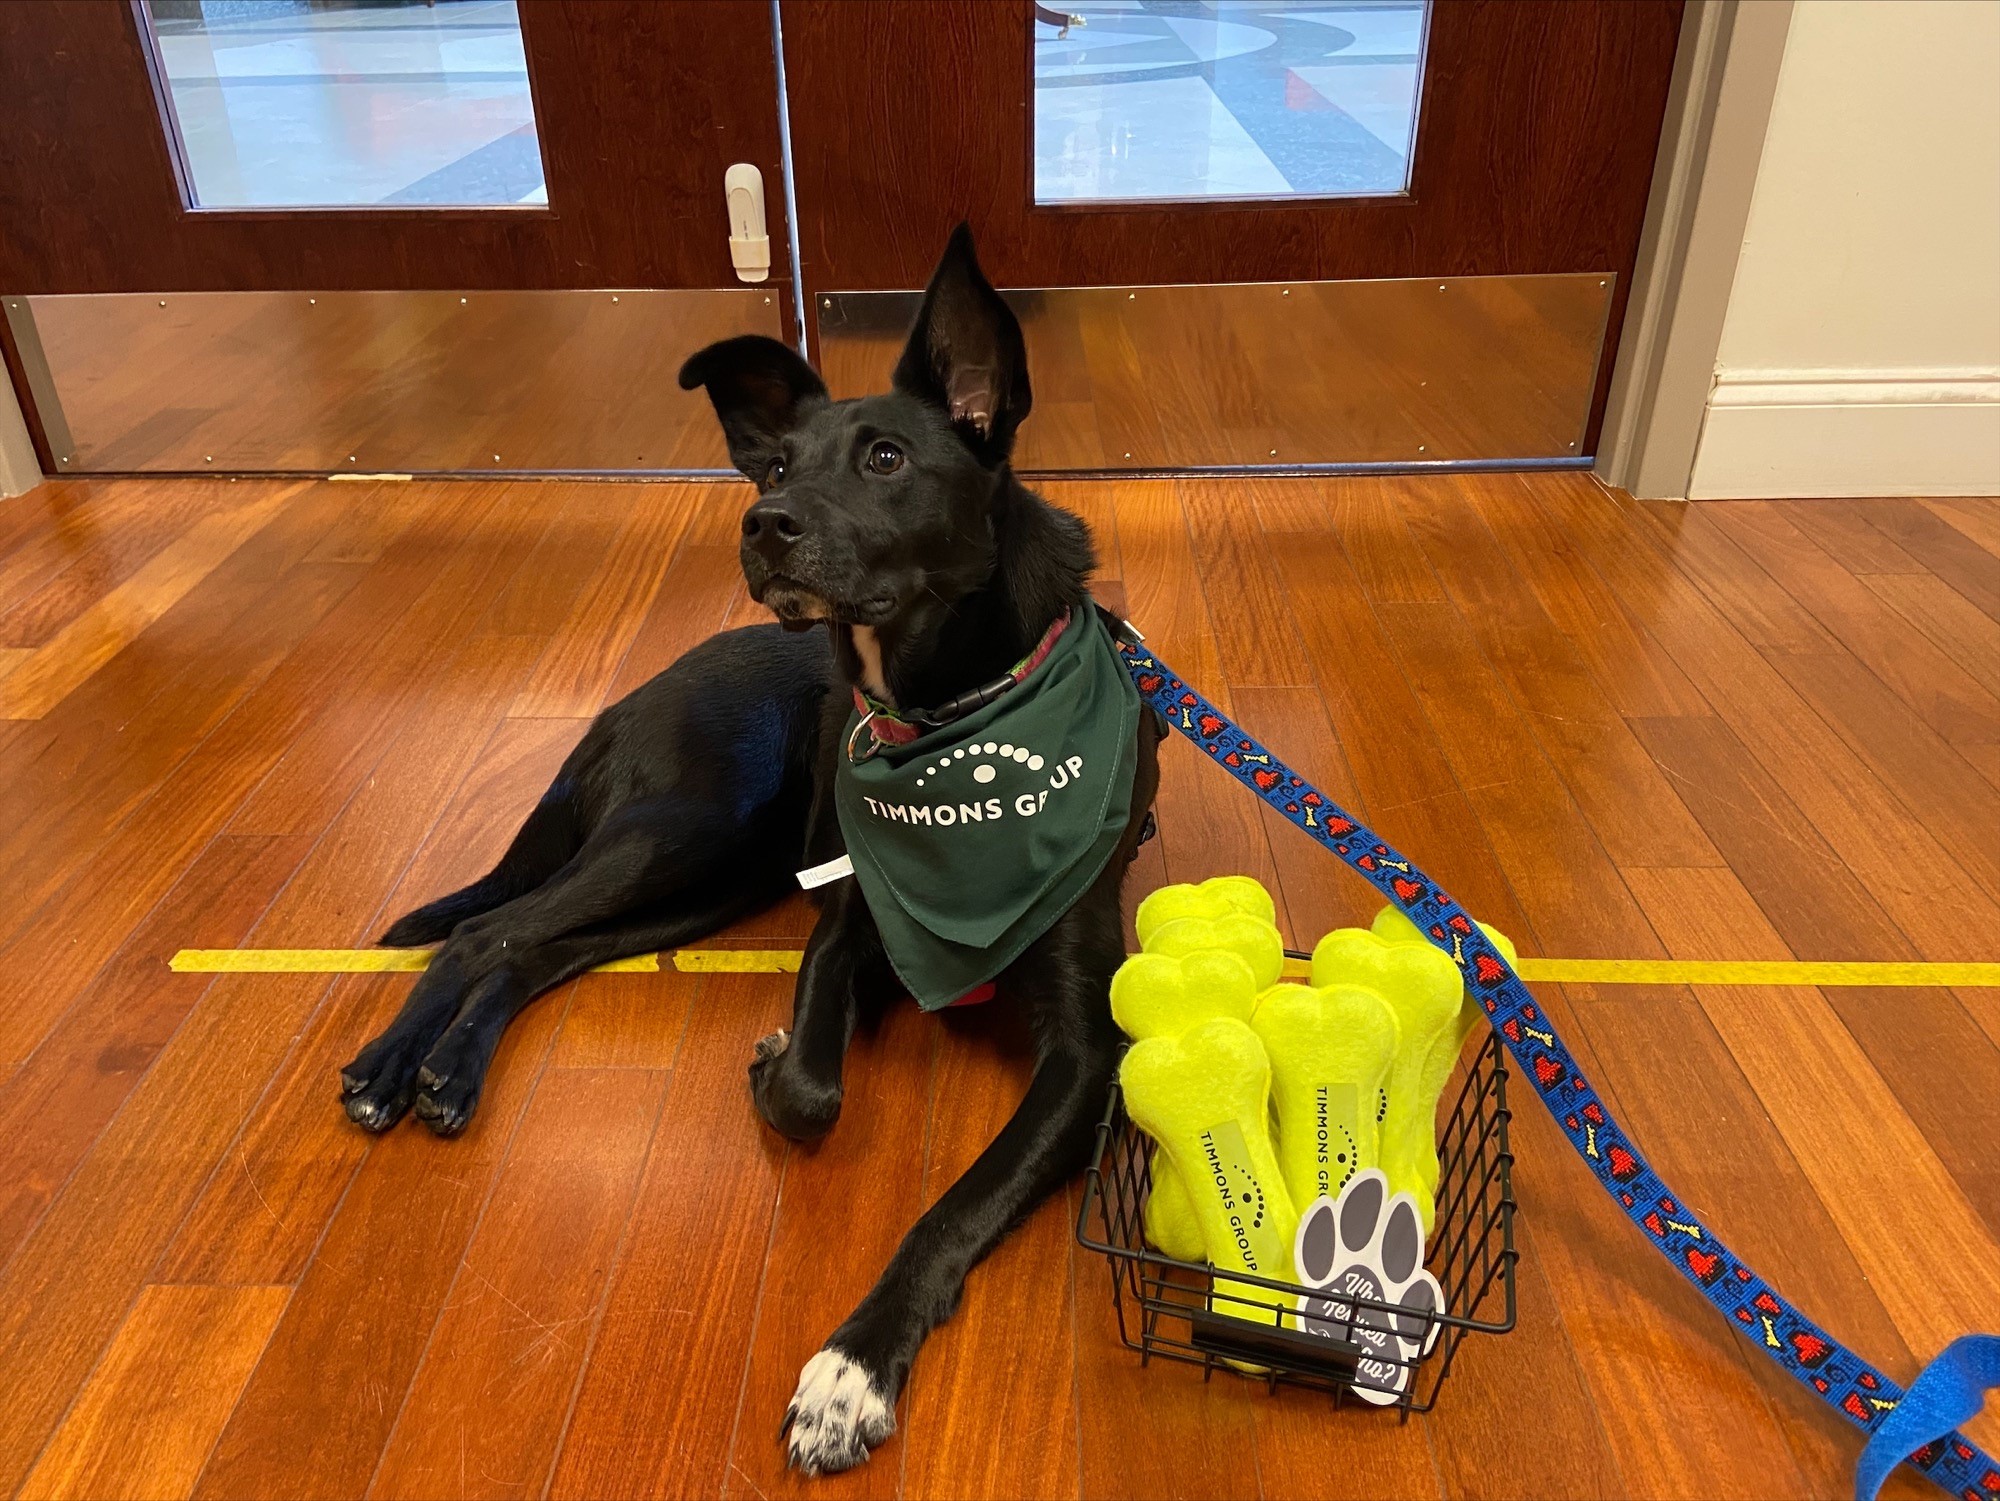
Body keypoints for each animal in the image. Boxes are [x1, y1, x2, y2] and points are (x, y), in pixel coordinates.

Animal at [342, 229, 1160, 1472]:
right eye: (770, 466)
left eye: (884, 457)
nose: (762, 524)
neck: (950, 719)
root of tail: (627, 698)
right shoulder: (840, 929)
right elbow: (816, 1093)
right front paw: (778, 1063)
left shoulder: (1081, 1050)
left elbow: (951, 1204)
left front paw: (848, 1373)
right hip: (682, 832)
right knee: (487, 927)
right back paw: (395, 1064)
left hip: (706, 879)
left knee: (534, 950)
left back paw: (447, 1069)